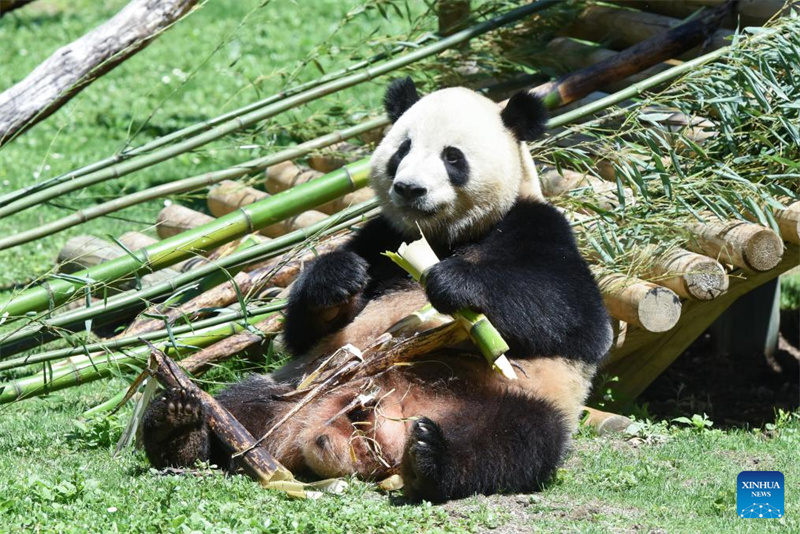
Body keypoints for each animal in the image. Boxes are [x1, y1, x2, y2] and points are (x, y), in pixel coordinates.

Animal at [141, 77, 608, 504]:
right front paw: (339, 279)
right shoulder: (380, 236)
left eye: (452, 157)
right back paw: (179, 427)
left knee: (512, 441)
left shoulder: (536, 226)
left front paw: (452, 283)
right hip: (304, 385)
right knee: (241, 405)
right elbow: (302, 330)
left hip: (514, 397)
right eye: (403, 149)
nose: (409, 188)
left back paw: (431, 457)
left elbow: (575, 317)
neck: (441, 237)